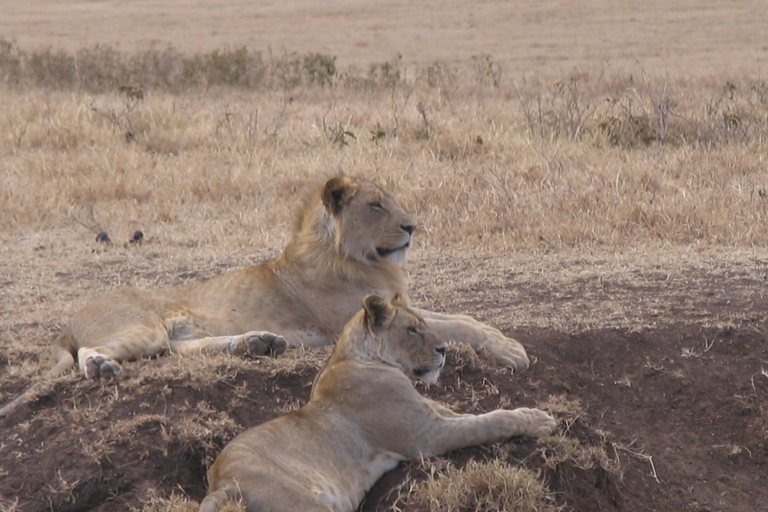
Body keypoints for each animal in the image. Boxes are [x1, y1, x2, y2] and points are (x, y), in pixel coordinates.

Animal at [0, 174, 528, 418]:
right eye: (377, 205)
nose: (413, 227)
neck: (358, 256)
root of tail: (70, 318)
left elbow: (461, 318)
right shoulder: (353, 318)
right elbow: (453, 322)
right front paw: (512, 350)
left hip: (171, 333)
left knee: (179, 350)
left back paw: (258, 343)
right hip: (142, 325)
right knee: (91, 354)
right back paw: (101, 367)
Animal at [198, 294, 560, 512]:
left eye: (424, 324)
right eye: (412, 329)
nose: (444, 349)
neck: (359, 357)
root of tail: (221, 481)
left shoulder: (434, 413)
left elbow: (473, 415)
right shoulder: (426, 436)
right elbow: (490, 421)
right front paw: (537, 419)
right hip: (300, 503)